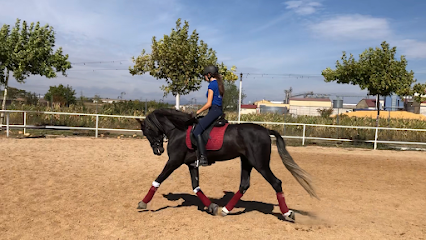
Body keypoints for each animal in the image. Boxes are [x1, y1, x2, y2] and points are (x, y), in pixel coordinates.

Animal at [136, 109, 316, 223]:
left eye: (147, 130)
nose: (158, 151)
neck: (178, 129)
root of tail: (265, 130)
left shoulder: (174, 161)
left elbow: (157, 180)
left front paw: (143, 203)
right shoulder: (191, 164)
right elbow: (196, 187)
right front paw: (212, 206)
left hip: (260, 164)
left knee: (276, 183)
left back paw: (287, 213)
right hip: (247, 162)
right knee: (244, 185)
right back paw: (225, 210)